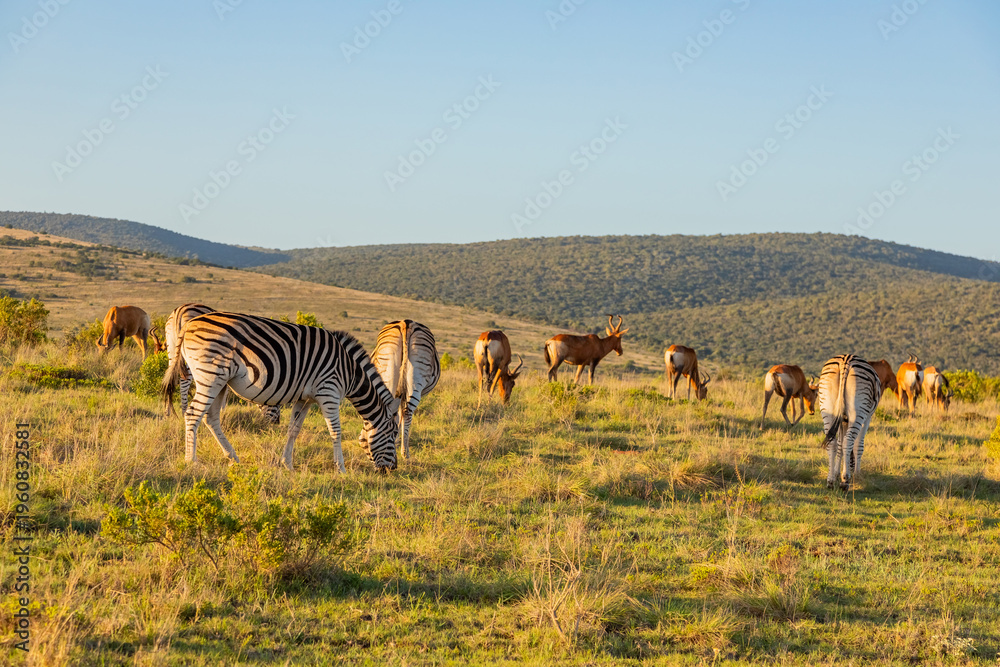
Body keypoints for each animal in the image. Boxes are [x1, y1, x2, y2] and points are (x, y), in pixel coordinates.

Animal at [161, 312, 400, 473]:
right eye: (393, 434)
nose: (393, 469)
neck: (349, 371)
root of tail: (190, 323)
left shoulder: (306, 398)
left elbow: (293, 429)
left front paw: (287, 464)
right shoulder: (329, 392)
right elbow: (336, 431)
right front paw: (340, 469)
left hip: (220, 381)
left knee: (211, 417)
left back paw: (232, 457)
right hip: (210, 375)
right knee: (194, 414)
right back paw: (191, 461)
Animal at [360, 319, 440, 460]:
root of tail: (406, 323)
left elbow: (396, 415)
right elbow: (399, 414)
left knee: (400, 411)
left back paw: (403, 452)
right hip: (414, 379)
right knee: (407, 412)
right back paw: (405, 453)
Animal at [817, 354, 882, 491]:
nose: (853, 469)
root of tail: (845, 360)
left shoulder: (842, 420)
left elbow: (840, 445)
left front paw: (836, 473)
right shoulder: (868, 417)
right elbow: (858, 445)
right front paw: (857, 474)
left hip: (827, 407)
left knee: (832, 442)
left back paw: (830, 481)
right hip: (858, 410)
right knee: (849, 440)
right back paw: (845, 481)